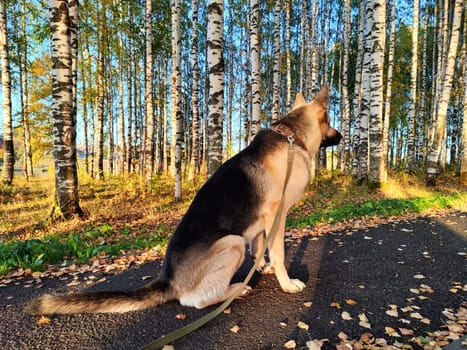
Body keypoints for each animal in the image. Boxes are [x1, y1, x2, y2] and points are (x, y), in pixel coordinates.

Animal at [26, 85, 340, 314]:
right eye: (330, 120)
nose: (341, 136)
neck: (291, 137)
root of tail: (169, 280)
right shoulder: (277, 215)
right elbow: (278, 253)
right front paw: (286, 282)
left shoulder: (263, 220)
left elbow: (260, 245)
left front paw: (262, 267)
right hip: (232, 242)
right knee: (195, 301)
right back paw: (236, 289)